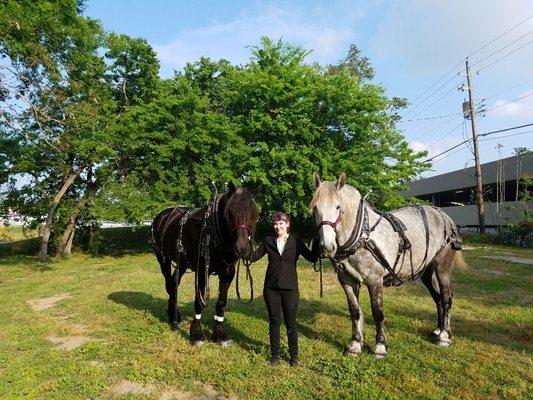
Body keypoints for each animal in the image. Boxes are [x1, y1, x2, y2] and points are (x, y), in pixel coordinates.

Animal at [150, 183, 258, 346]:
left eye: (253, 213)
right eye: (230, 212)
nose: (243, 248)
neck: (212, 231)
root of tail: (162, 215)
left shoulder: (228, 272)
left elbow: (221, 302)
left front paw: (219, 334)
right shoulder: (202, 270)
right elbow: (199, 302)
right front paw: (196, 334)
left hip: (182, 262)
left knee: (174, 283)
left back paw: (174, 315)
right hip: (163, 259)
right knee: (169, 284)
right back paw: (174, 316)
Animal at [310, 172, 464, 356]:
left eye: (338, 207)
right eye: (315, 208)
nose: (327, 247)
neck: (362, 235)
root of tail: (444, 216)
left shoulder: (374, 279)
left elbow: (378, 312)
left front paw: (380, 346)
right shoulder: (346, 280)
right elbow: (354, 311)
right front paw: (355, 344)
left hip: (442, 268)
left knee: (446, 297)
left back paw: (444, 336)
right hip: (426, 271)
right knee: (437, 297)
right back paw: (438, 329)